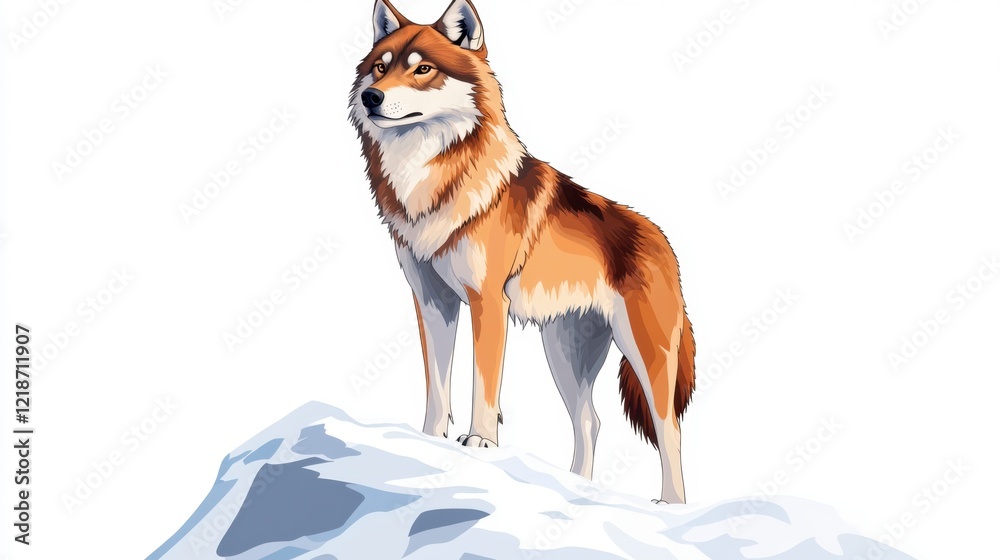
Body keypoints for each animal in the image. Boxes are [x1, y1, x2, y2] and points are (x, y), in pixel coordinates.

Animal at [350, 0, 696, 503]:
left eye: (423, 69)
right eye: (381, 66)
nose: (371, 97)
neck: (427, 180)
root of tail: (662, 239)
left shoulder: (487, 301)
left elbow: (483, 382)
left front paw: (480, 441)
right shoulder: (432, 300)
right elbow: (437, 384)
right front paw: (428, 440)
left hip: (645, 356)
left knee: (669, 430)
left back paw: (670, 504)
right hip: (564, 356)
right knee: (590, 422)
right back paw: (577, 488)